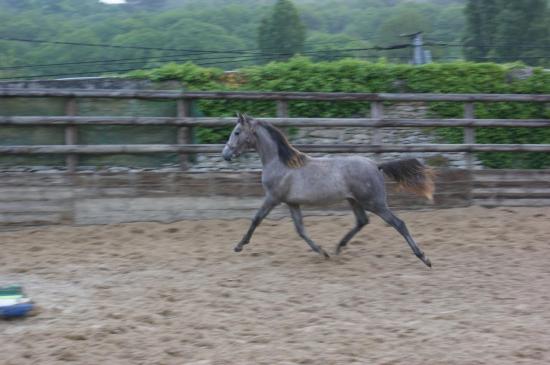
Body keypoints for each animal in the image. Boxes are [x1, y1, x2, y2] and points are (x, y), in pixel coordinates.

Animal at [223, 112, 436, 266]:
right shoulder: (292, 202)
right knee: (362, 221)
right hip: (354, 201)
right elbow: (300, 229)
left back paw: (424, 258)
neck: (280, 164)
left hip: (374, 202)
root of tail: (376, 165)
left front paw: (239, 246)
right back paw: (338, 247)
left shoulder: (272, 197)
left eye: (237, 132)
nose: (225, 154)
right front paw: (322, 252)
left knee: (399, 224)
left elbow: (256, 219)